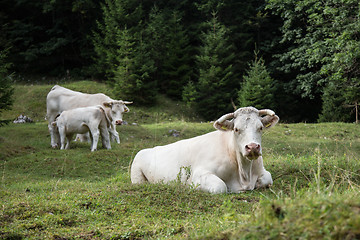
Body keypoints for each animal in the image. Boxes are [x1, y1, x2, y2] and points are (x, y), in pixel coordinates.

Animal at [131, 107, 280, 193]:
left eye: (260, 127)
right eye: (236, 129)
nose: (253, 147)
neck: (244, 174)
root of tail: (146, 150)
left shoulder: (261, 170)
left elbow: (268, 178)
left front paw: (259, 183)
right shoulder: (199, 174)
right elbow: (220, 187)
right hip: (137, 176)